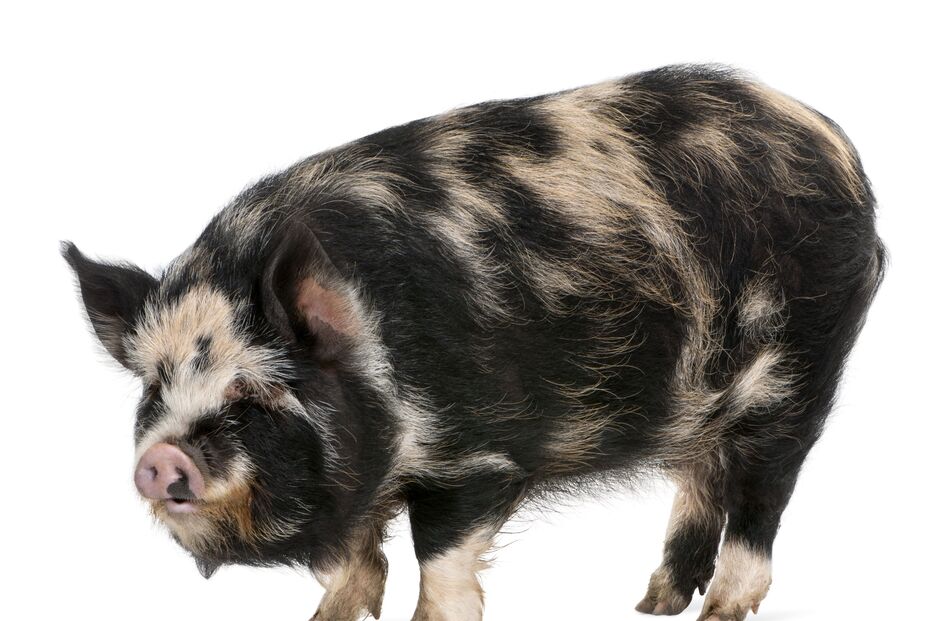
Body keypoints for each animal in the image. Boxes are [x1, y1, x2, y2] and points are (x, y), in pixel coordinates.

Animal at [64, 64, 884, 621]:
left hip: (798, 376)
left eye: (256, 390)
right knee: (700, 486)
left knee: (760, 496)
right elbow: (354, 562)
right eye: (155, 385)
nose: (160, 458)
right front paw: (324, 618)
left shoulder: (477, 460)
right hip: (704, 408)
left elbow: (439, 560)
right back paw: (652, 603)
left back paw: (715, 610)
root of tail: (835, 143)